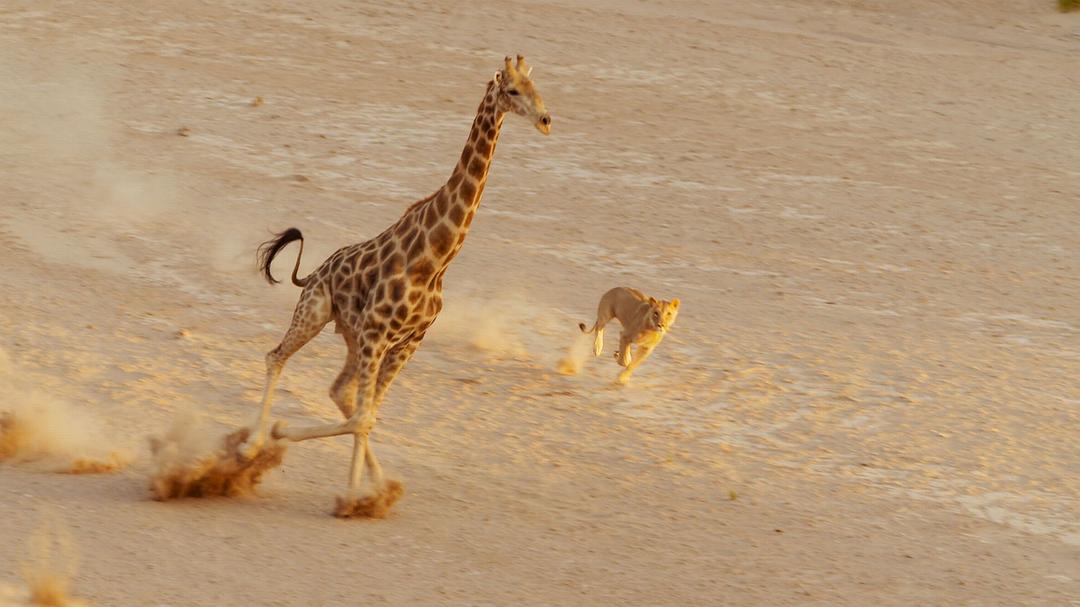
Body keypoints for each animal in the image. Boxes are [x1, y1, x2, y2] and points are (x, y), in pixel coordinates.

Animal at [241, 55, 552, 514]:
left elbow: (367, 415)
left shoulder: (408, 341)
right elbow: (363, 417)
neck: (435, 258)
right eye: (512, 90)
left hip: (352, 336)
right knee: (276, 357)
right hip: (316, 311)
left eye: (537, 88)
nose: (546, 120)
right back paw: (253, 445)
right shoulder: (377, 333)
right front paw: (346, 490)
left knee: (341, 391)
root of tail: (314, 273)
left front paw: (370, 492)